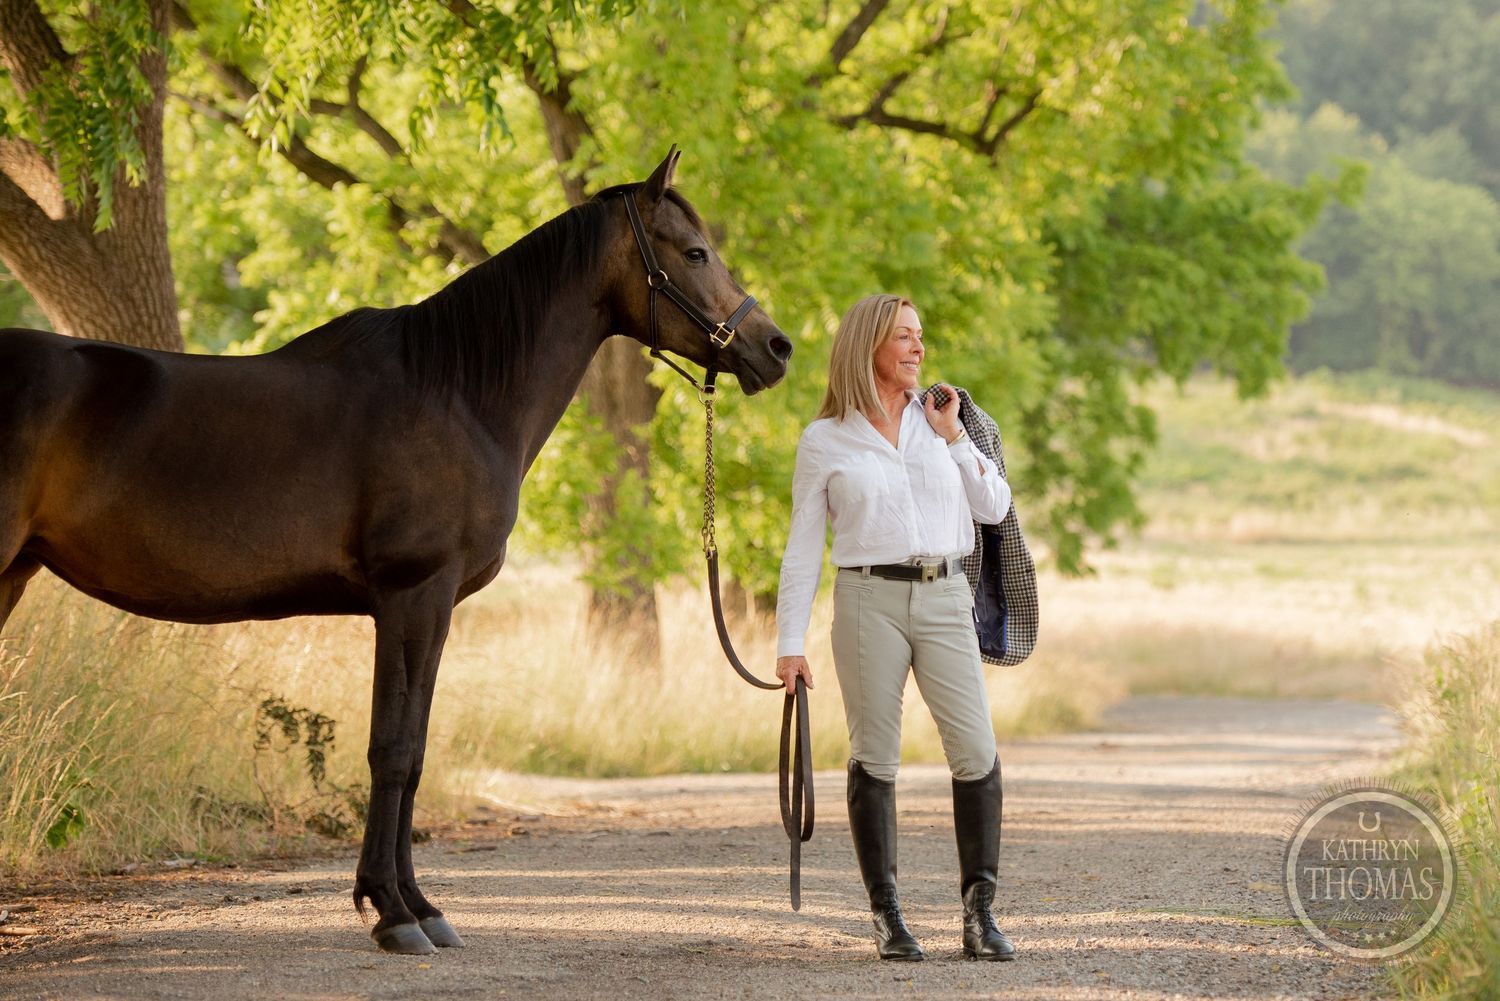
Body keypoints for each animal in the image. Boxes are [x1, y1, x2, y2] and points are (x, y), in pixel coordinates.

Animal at [0, 148, 792, 954]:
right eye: (693, 253)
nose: (776, 347)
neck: (456, 392)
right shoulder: (414, 594)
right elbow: (394, 750)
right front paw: (392, 911)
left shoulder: (430, 608)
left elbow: (412, 750)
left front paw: (417, 903)